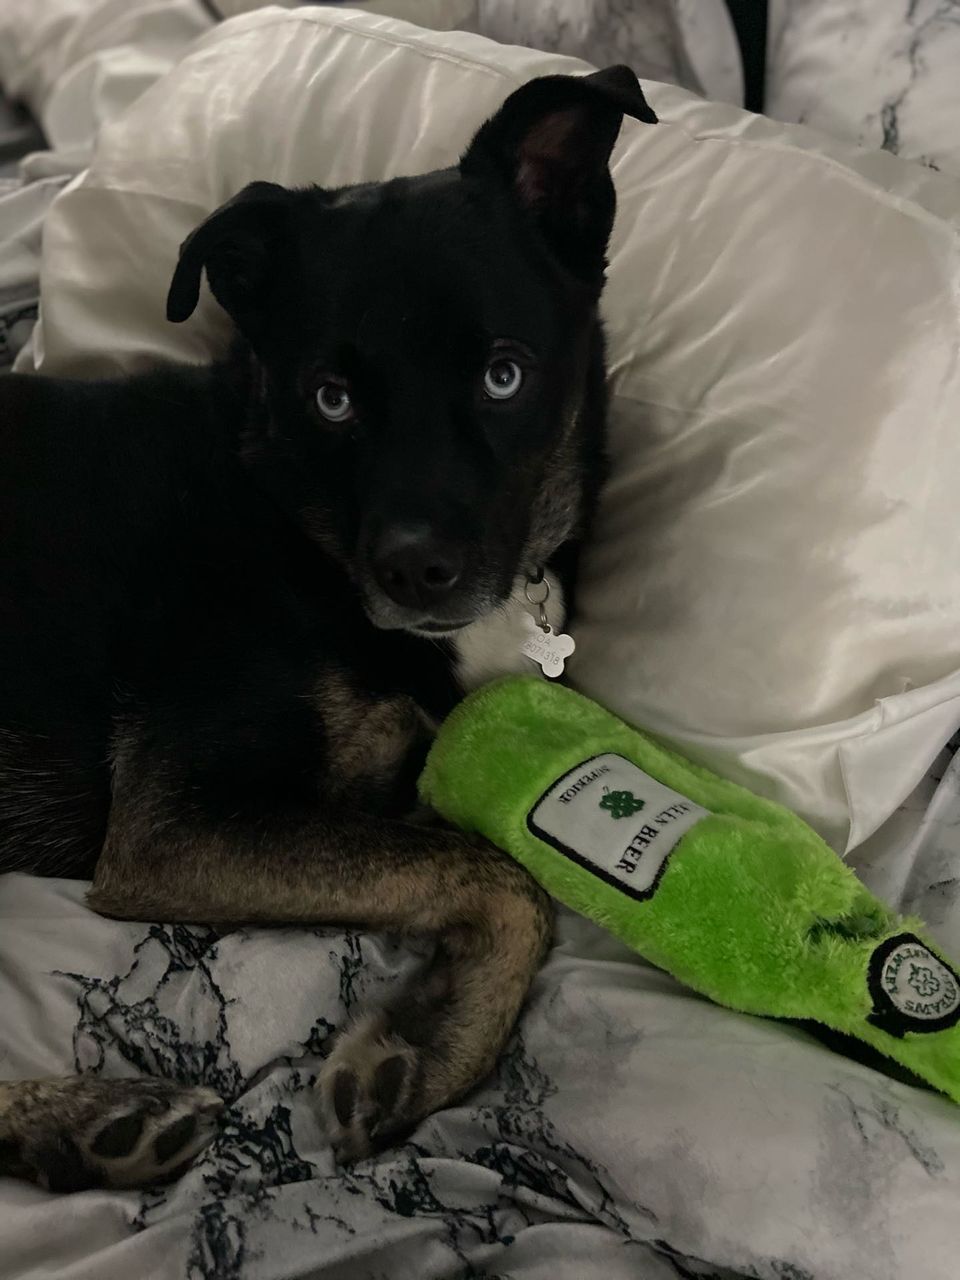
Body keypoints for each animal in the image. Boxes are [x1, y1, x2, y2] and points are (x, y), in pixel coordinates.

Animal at [0, 66, 657, 1190]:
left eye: (504, 373)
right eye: (333, 397)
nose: (415, 571)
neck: (285, 503)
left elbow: (469, 856)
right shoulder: (176, 828)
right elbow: (505, 877)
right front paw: (429, 1048)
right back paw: (81, 1115)